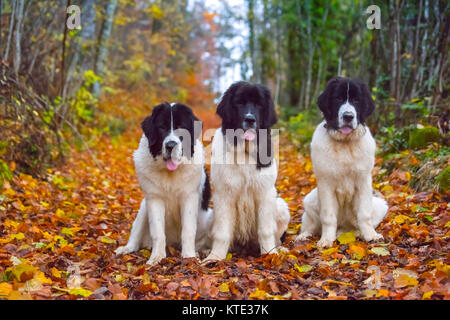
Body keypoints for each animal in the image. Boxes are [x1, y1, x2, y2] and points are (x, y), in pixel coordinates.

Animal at [114, 102, 213, 264]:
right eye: (161, 127)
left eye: (181, 127)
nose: (171, 145)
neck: (170, 173)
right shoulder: (154, 199)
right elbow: (157, 231)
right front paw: (157, 258)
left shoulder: (189, 197)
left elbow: (188, 229)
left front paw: (189, 257)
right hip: (143, 208)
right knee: (135, 235)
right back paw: (126, 249)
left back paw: (203, 251)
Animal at [205, 81, 290, 262]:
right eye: (239, 103)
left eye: (259, 104)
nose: (250, 119)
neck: (244, 151)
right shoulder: (223, 195)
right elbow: (222, 232)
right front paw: (215, 257)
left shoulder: (265, 193)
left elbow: (265, 230)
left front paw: (270, 255)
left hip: (280, 206)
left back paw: (280, 249)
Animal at [298, 77, 388, 248]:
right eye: (338, 99)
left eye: (356, 100)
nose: (348, 116)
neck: (345, 143)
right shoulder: (325, 183)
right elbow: (328, 216)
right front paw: (326, 240)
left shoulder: (364, 181)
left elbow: (364, 214)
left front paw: (371, 236)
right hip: (310, 200)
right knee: (310, 225)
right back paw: (304, 236)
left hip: (380, 205)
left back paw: (357, 233)